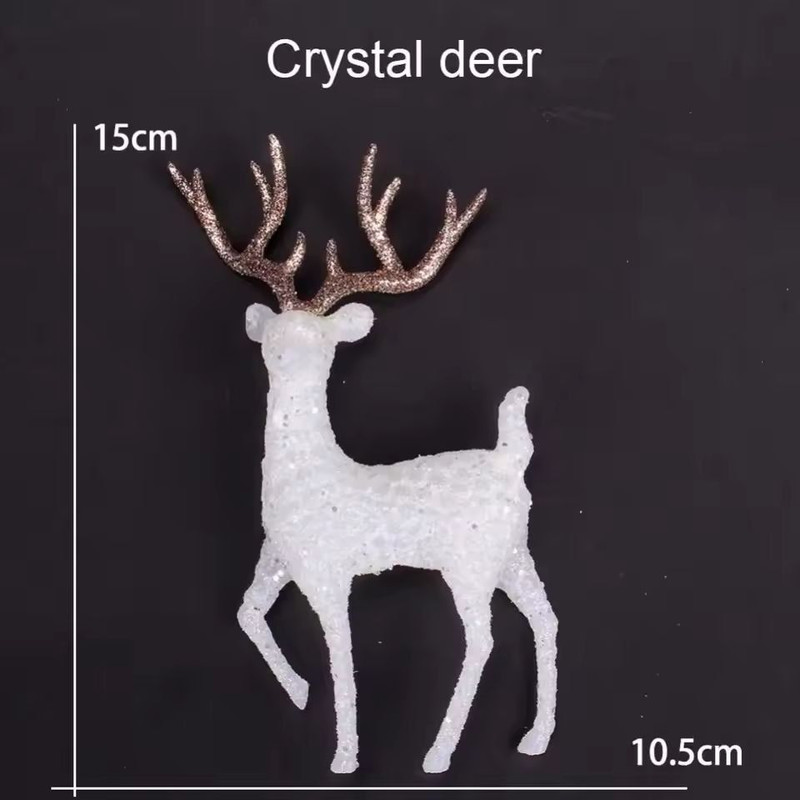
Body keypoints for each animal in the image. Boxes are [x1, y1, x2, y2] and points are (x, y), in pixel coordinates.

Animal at [168, 136, 558, 774]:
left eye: (319, 343)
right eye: (273, 335)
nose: (283, 356)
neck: (308, 474)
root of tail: (509, 458)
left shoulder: (328, 569)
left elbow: (343, 656)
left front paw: (345, 755)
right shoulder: (277, 554)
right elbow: (247, 611)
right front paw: (300, 693)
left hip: (470, 560)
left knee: (483, 638)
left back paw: (437, 753)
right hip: (513, 552)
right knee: (545, 619)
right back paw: (534, 739)